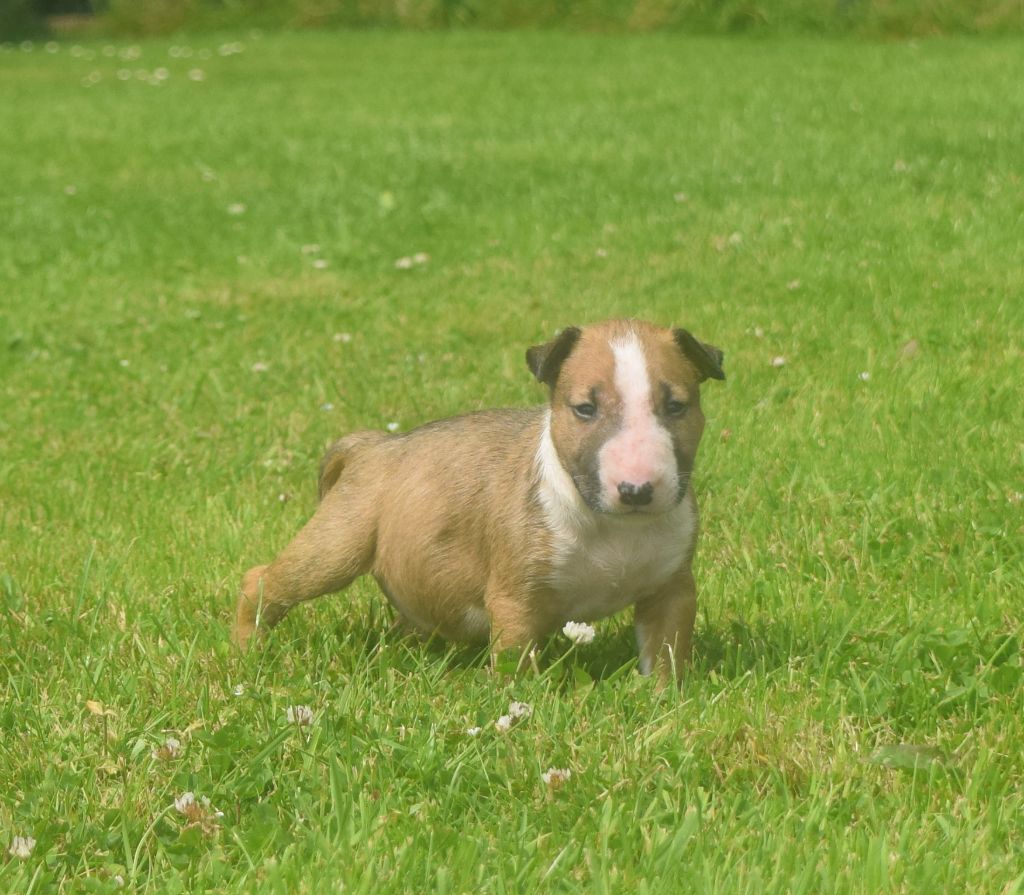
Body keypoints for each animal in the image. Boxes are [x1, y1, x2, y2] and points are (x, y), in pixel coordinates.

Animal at [233, 319, 724, 683]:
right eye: (585, 409)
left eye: (676, 406)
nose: (637, 490)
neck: (613, 527)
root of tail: (375, 446)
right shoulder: (514, 597)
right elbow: (514, 662)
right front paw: (522, 706)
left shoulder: (672, 588)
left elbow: (667, 654)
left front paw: (665, 700)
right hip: (336, 545)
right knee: (264, 581)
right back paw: (246, 651)